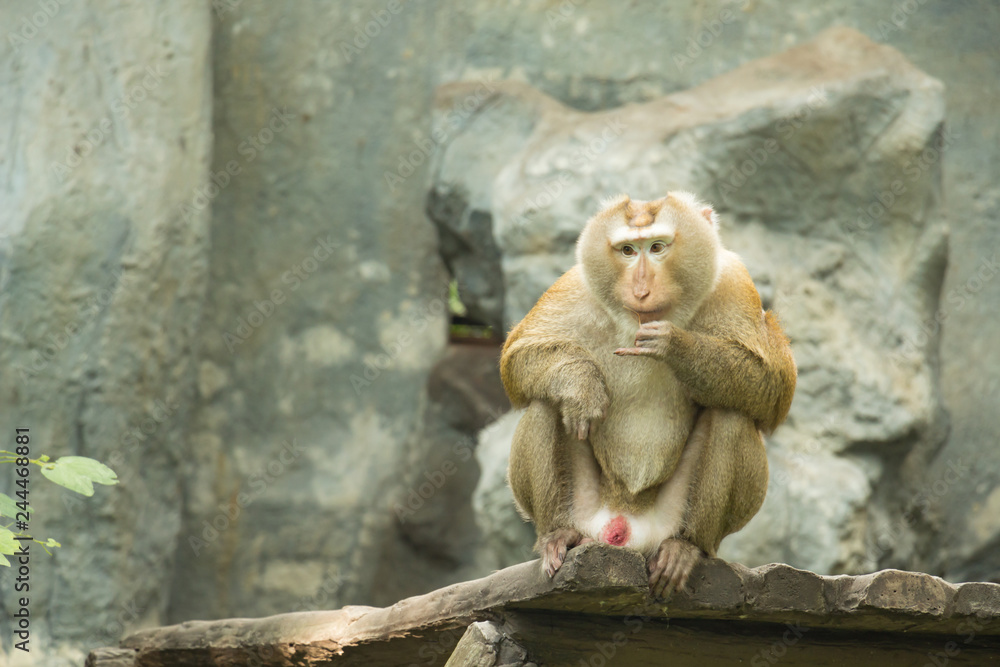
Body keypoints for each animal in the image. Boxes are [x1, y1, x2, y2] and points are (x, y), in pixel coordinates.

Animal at [500, 192, 796, 597]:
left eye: (657, 247)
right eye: (627, 250)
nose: (640, 290)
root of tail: (625, 531)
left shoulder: (735, 282)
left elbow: (773, 386)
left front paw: (674, 344)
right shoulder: (575, 287)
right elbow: (517, 357)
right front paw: (581, 384)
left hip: (669, 518)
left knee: (731, 414)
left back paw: (685, 547)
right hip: (587, 511)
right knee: (545, 403)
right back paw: (558, 536)